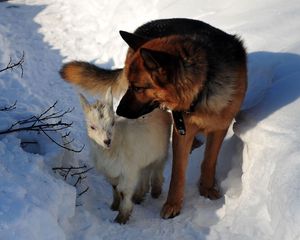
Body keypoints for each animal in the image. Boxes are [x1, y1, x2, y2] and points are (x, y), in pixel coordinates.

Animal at [59, 17, 247, 218]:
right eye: (131, 85)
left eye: (139, 88)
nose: (119, 111)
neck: (203, 87)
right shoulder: (181, 130)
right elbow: (178, 172)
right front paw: (173, 204)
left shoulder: (220, 127)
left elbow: (209, 161)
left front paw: (206, 188)